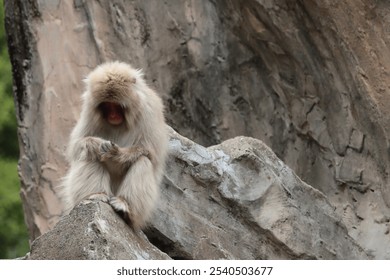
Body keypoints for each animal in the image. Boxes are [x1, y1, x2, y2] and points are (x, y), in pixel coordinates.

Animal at [61, 61, 169, 230]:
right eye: (106, 105)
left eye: (117, 106)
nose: (112, 115)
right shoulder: (89, 109)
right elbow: (77, 145)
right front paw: (95, 144)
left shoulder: (150, 109)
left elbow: (151, 153)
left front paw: (115, 153)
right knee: (89, 155)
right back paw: (96, 194)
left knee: (142, 160)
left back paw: (124, 205)